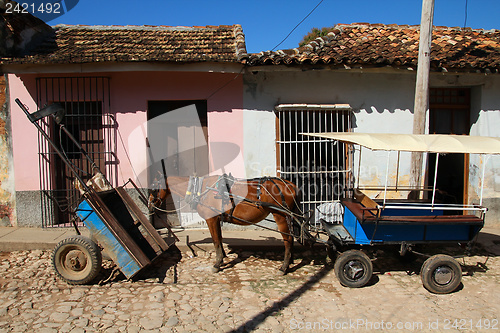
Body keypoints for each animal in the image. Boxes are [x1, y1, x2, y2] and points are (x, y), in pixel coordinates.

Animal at [148, 175, 300, 274]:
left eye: (154, 188)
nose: (149, 205)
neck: (200, 189)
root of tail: (290, 185)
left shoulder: (211, 219)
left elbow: (215, 241)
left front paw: (217, 264)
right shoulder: (216, 219)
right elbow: (219, 239)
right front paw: (221, 259)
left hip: (280, 215)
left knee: (288, 239)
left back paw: (284, 267)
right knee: (291, 238)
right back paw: (290, 261)